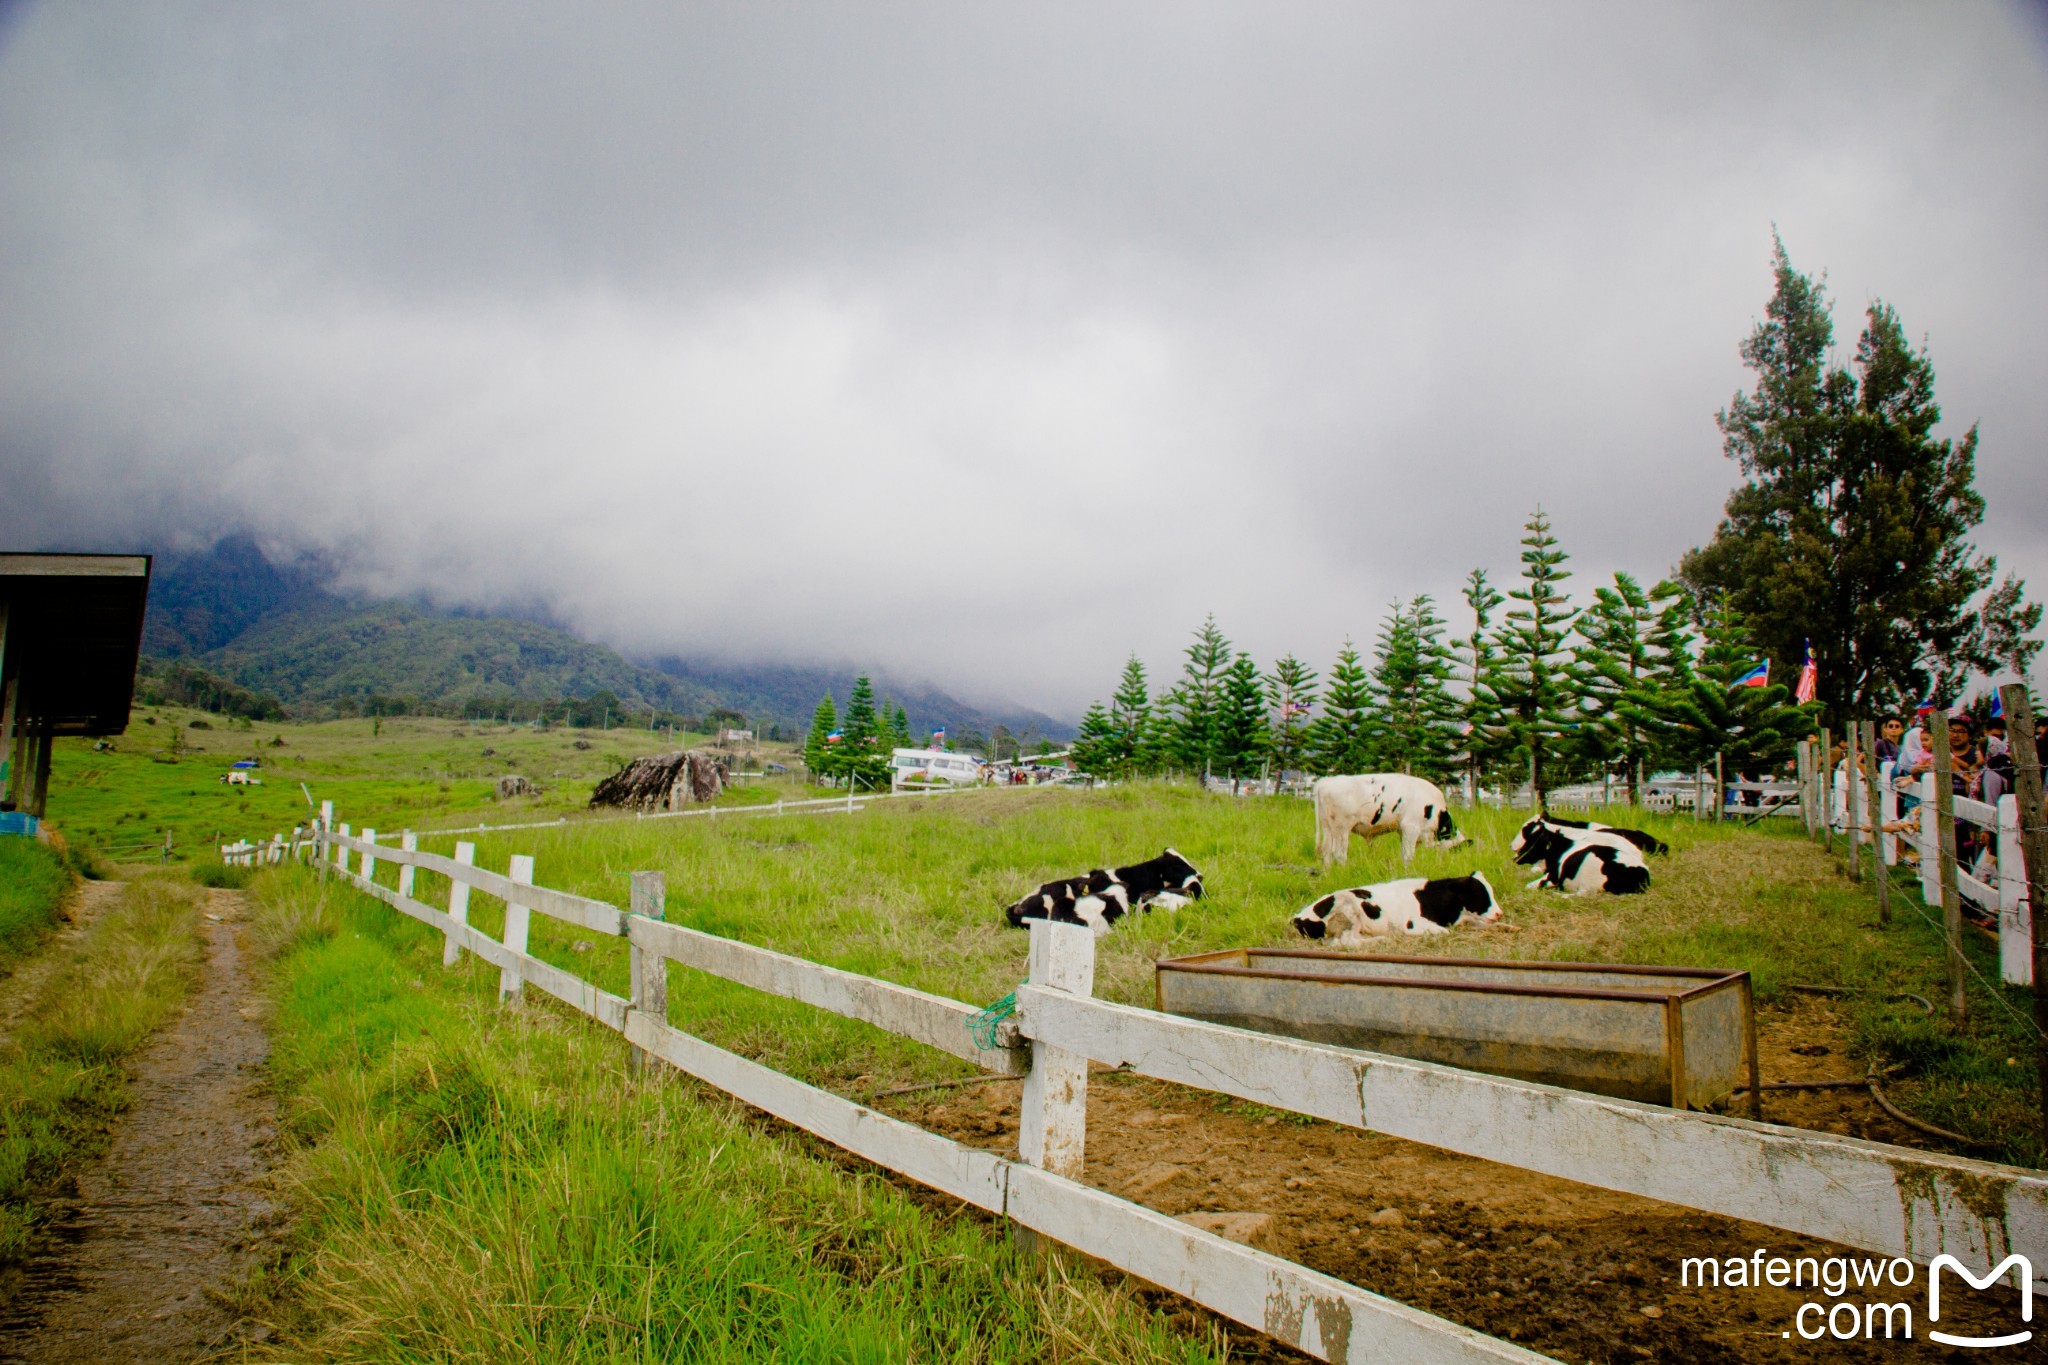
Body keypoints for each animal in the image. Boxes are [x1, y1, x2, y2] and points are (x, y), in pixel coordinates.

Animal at [1294, 871, 1507, 945]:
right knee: (1347, 941)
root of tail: (1298, 917)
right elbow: (1445, 932)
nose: (1499, 913)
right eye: (1480, 894)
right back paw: (1383, 939)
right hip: (1347, 907)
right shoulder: (1413, 924)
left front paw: (1508, 927)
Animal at [1318, 773, 1466, 871]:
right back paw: (1343, 871)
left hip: (1328, 828)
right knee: (1339, 853)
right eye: (1455, 850)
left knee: (1326, 852)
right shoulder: (1410, 827)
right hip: (1341, 828)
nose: (1448, 865)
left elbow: (1405, 852)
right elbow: (1408, 855)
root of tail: (1327, 782)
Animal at [1515, 822, 1654, 896]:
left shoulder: (1552, 876)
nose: (1516, 858)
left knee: (1581, 894)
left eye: (1534, 840)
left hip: (1589, 876)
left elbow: (1529, 886)